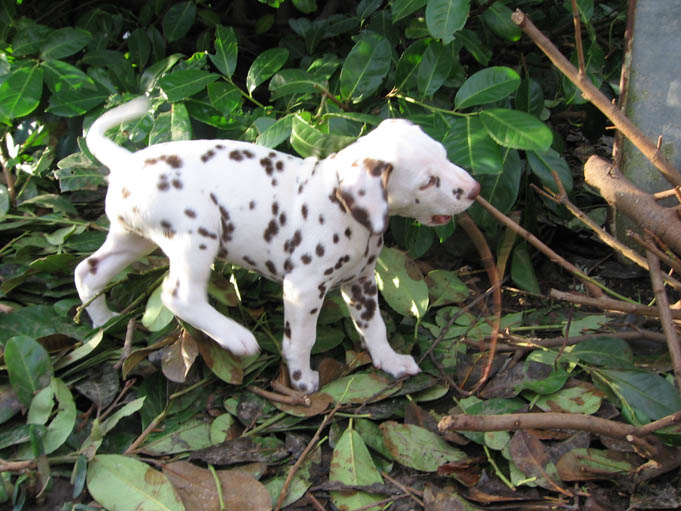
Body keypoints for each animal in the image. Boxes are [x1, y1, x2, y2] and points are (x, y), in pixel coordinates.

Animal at [75, 97, 480, 392]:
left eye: (445, 155)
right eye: (427, 181)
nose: (474, 190)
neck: (341, 206)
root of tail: (128, 161)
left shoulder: (361, 282)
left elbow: (374, 328)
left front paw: (390, 360)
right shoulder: (303, 290)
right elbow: (302, 339)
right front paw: (301, 380)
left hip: (132, 239)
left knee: (87, 271)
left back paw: (103, 323)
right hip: (197, 233)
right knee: (179, 295)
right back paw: (236, 337)